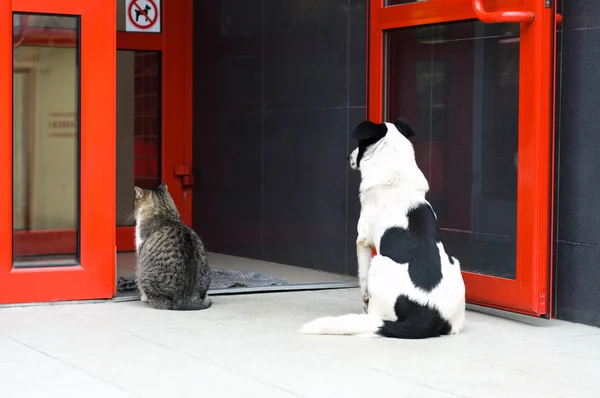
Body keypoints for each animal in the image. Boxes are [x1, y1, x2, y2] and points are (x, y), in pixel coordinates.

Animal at [302, 118, 466, 338]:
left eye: (361, 143)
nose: (348, 157)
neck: (396, 177)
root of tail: (429, 312)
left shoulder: (362, 240)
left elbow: (362, 280)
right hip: (455, 265)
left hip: (378, 263)